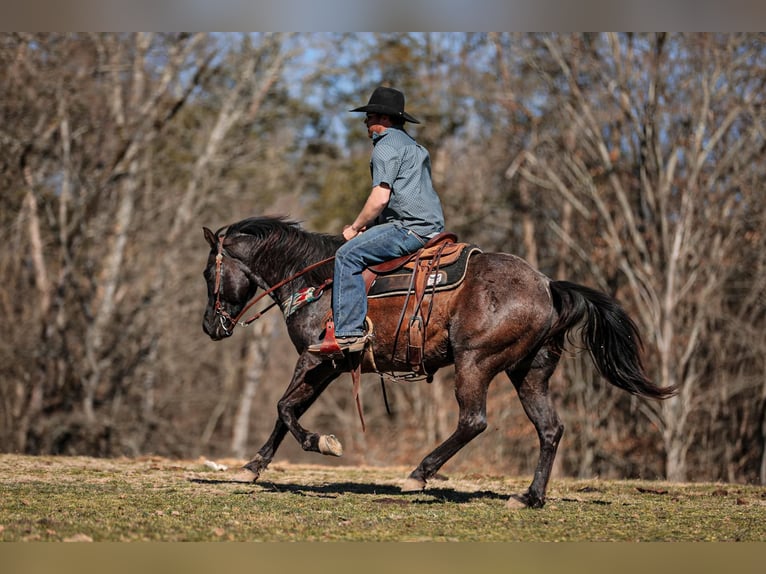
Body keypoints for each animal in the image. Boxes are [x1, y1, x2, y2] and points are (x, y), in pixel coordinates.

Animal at [201, 216, 676, 508]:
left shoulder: (315, 360)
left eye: (208, 274)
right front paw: (252, 467)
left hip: (475, 362)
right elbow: (286, 413)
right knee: (550, 429)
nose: (210, 325)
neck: (315, 280)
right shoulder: (330, 368)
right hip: (529, 372)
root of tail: (546, 285)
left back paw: (419, 474)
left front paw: (322, 443)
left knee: (473, 421)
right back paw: (529, 497)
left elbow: (284, 408)